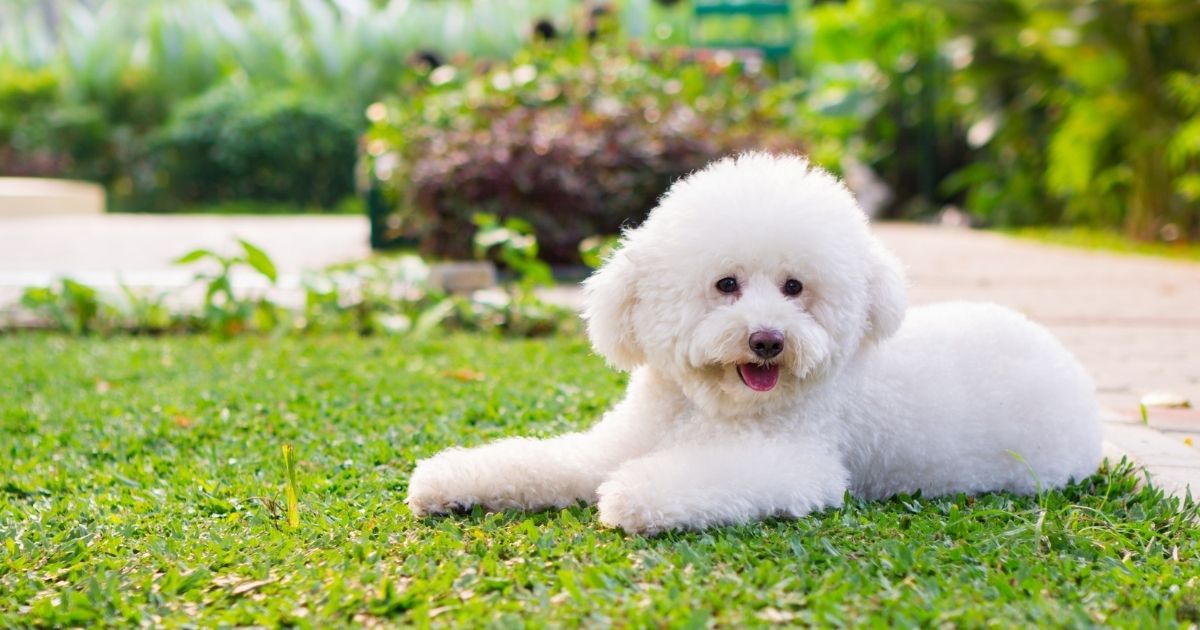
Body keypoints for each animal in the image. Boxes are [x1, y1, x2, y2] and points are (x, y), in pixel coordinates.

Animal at [408, 151, 1099, 530]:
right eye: (727, 284)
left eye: (794, 287)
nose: (768, 341)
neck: (702, 407)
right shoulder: (613, 445)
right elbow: (543, 462)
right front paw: (447, 480)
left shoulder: (797, 464)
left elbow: (697, 479)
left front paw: (633, 495)